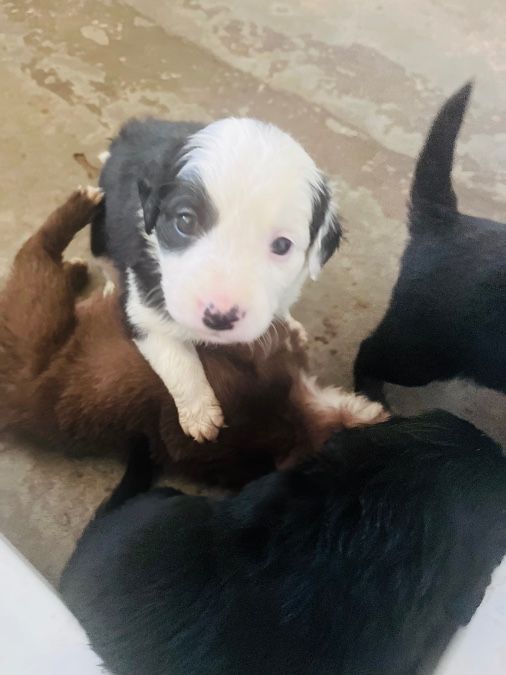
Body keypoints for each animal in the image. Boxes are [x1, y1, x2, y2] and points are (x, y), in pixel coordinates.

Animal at [92, 116, 342, 444]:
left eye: (282, 245)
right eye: (185, 220)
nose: (220, 317)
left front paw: (287, 324)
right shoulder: (143, 309)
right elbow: (178, 362)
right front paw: (200, 415)